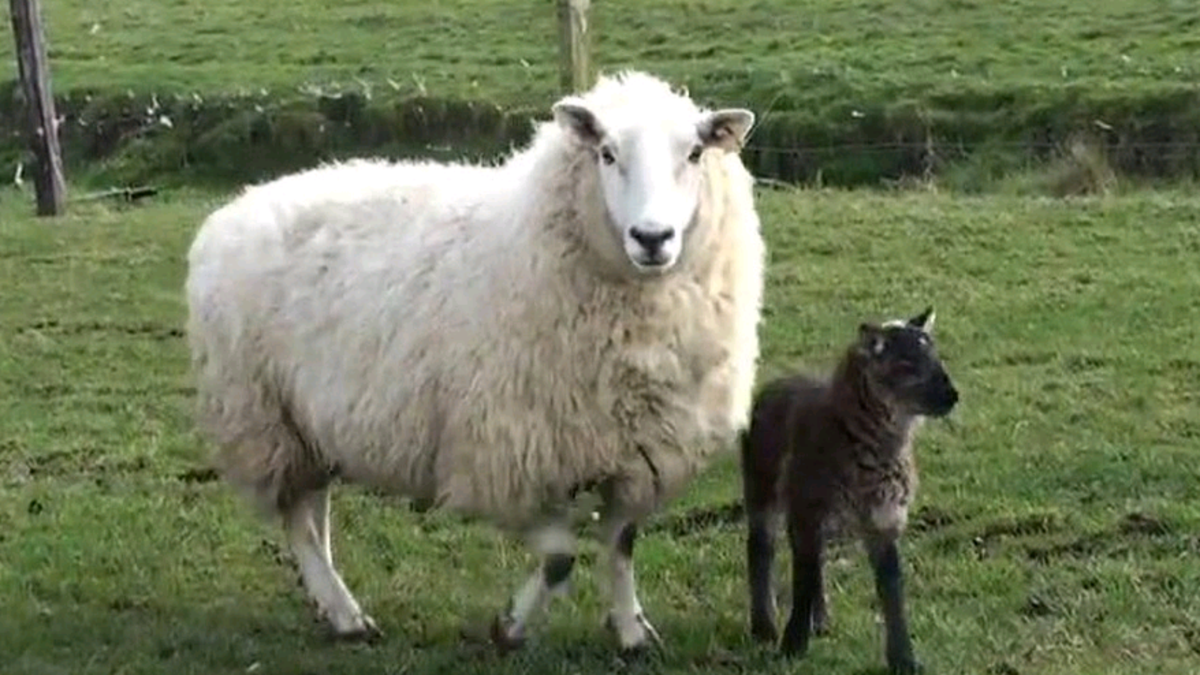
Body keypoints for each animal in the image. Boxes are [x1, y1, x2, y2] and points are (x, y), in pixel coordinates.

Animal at [183, 70, 766, 653]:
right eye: (606, 153)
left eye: (694, 153)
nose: (652, 238)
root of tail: (236, 206)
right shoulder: (503, 454)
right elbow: (560, 558)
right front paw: (509, 628)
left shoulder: (638, 454)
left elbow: (621, 546)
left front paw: (631, 631)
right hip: (264, 416)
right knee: (298, 521)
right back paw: (346, 614)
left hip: (309, 423)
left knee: (313, 512)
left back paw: (327, 601)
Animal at [739, 307, 958, 674]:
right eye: (906, 365)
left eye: (936, 357)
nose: (953, 396)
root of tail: (779, 381)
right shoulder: (807, 509)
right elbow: (802, 580)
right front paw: (792, 645)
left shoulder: (884, 519)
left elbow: (892, 591)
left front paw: (904, 659)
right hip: (761, 484)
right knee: (761, 548)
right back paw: (764, 626)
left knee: (815, 562)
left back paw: (821, 620)